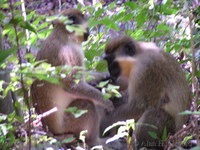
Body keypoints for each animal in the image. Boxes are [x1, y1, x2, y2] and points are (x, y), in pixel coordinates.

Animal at [30, 8, 113, 146]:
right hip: (68, 125)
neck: (63, 34)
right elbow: (73, 87)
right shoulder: (71, 53)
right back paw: (95, 142)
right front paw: (107, 102)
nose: (88, 33)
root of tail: (52, 133)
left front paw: (104, 75)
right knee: (87, 104)